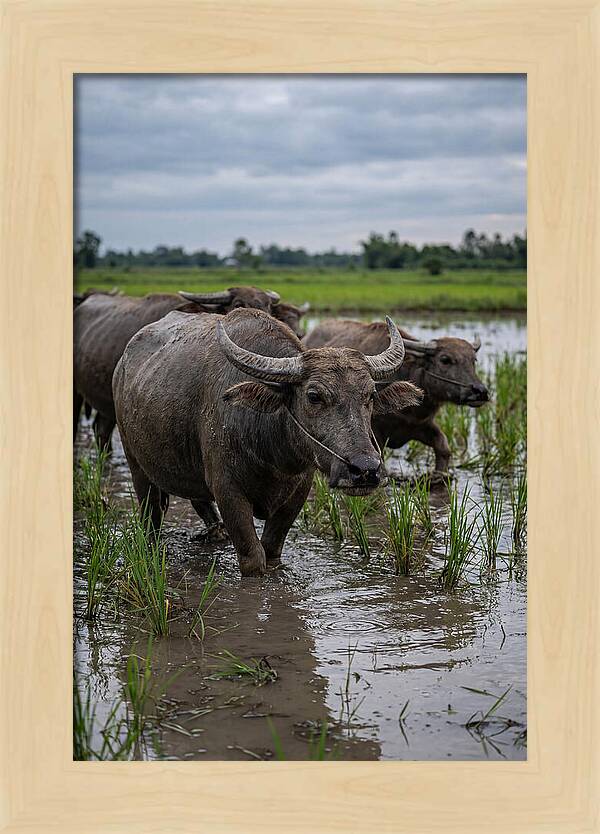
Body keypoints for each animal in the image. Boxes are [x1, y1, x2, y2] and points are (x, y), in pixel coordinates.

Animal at [113, 309, 422, 576]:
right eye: (313, 396)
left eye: (370, 394)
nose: (365, 469)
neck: (273, 453)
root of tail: (122, 365)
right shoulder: (228, 491)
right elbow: (253, 559)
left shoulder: (298, 492)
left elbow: (271, 551)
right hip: (136, 464)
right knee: (151, 516)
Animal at [304, 319, 488, 475]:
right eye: (445, 359)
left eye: (473, 360)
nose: (480, 391)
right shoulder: (375, 433)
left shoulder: (421, 425)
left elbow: (443, 447)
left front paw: (439, 475)